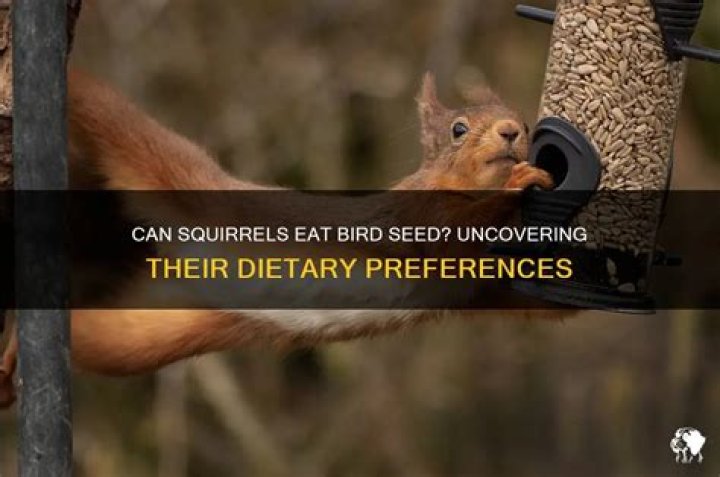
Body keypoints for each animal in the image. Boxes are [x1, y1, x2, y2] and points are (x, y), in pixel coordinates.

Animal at [0, 70, 555, 407]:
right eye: (459, 129)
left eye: (526, 122)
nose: (511, 130)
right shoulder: (408, 217)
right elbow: (445, 236)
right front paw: (516, 186)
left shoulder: (483, 289)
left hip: (153, 329)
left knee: (94, 335)